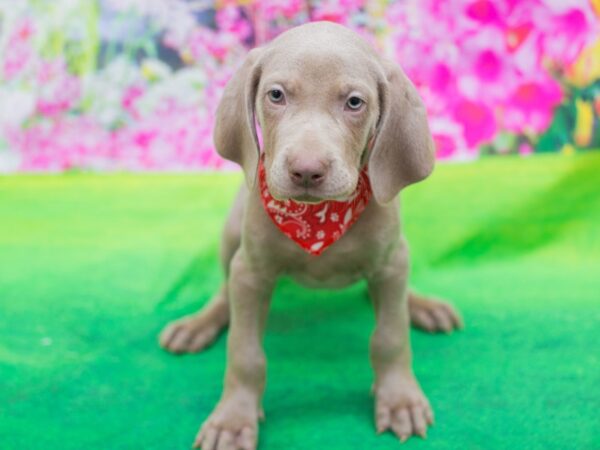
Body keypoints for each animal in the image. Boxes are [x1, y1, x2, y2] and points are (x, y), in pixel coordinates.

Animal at [158, 20, 460, 450]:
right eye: (276, 95)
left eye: (355, 102)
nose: (306, 170)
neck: (317, 220)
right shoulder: (251, 273)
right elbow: (245, 353)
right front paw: (233, 419)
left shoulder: (389, 265)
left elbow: (390, 337)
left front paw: (399, 398)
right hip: (231, 237)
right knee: (224, 288)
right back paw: (198, 324)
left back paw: (421, 305)